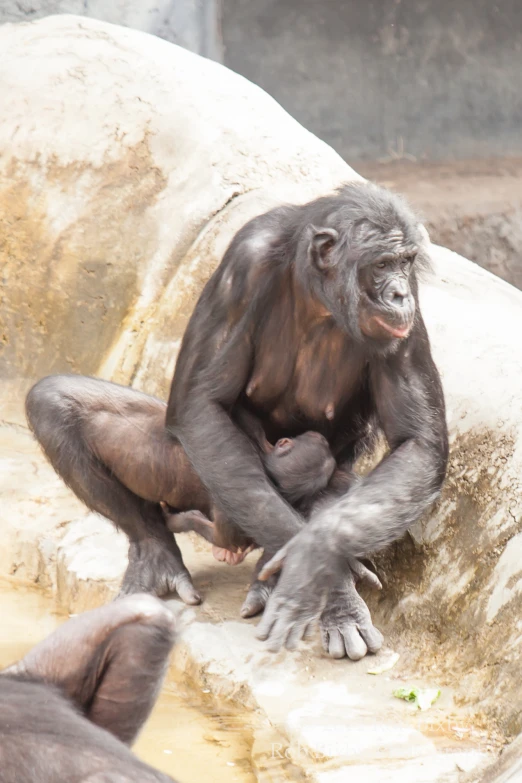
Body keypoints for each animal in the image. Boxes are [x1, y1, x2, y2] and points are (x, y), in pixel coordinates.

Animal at [25, 182, 446, 660]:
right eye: (381, 264)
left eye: (405, 262)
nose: (398, 294)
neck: (318, 297)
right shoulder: (243, 266)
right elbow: (200, 404)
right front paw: (321, 581)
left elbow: (416, 441)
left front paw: (318, 566)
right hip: (185, 469)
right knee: (55, 404)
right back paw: (158, 557)